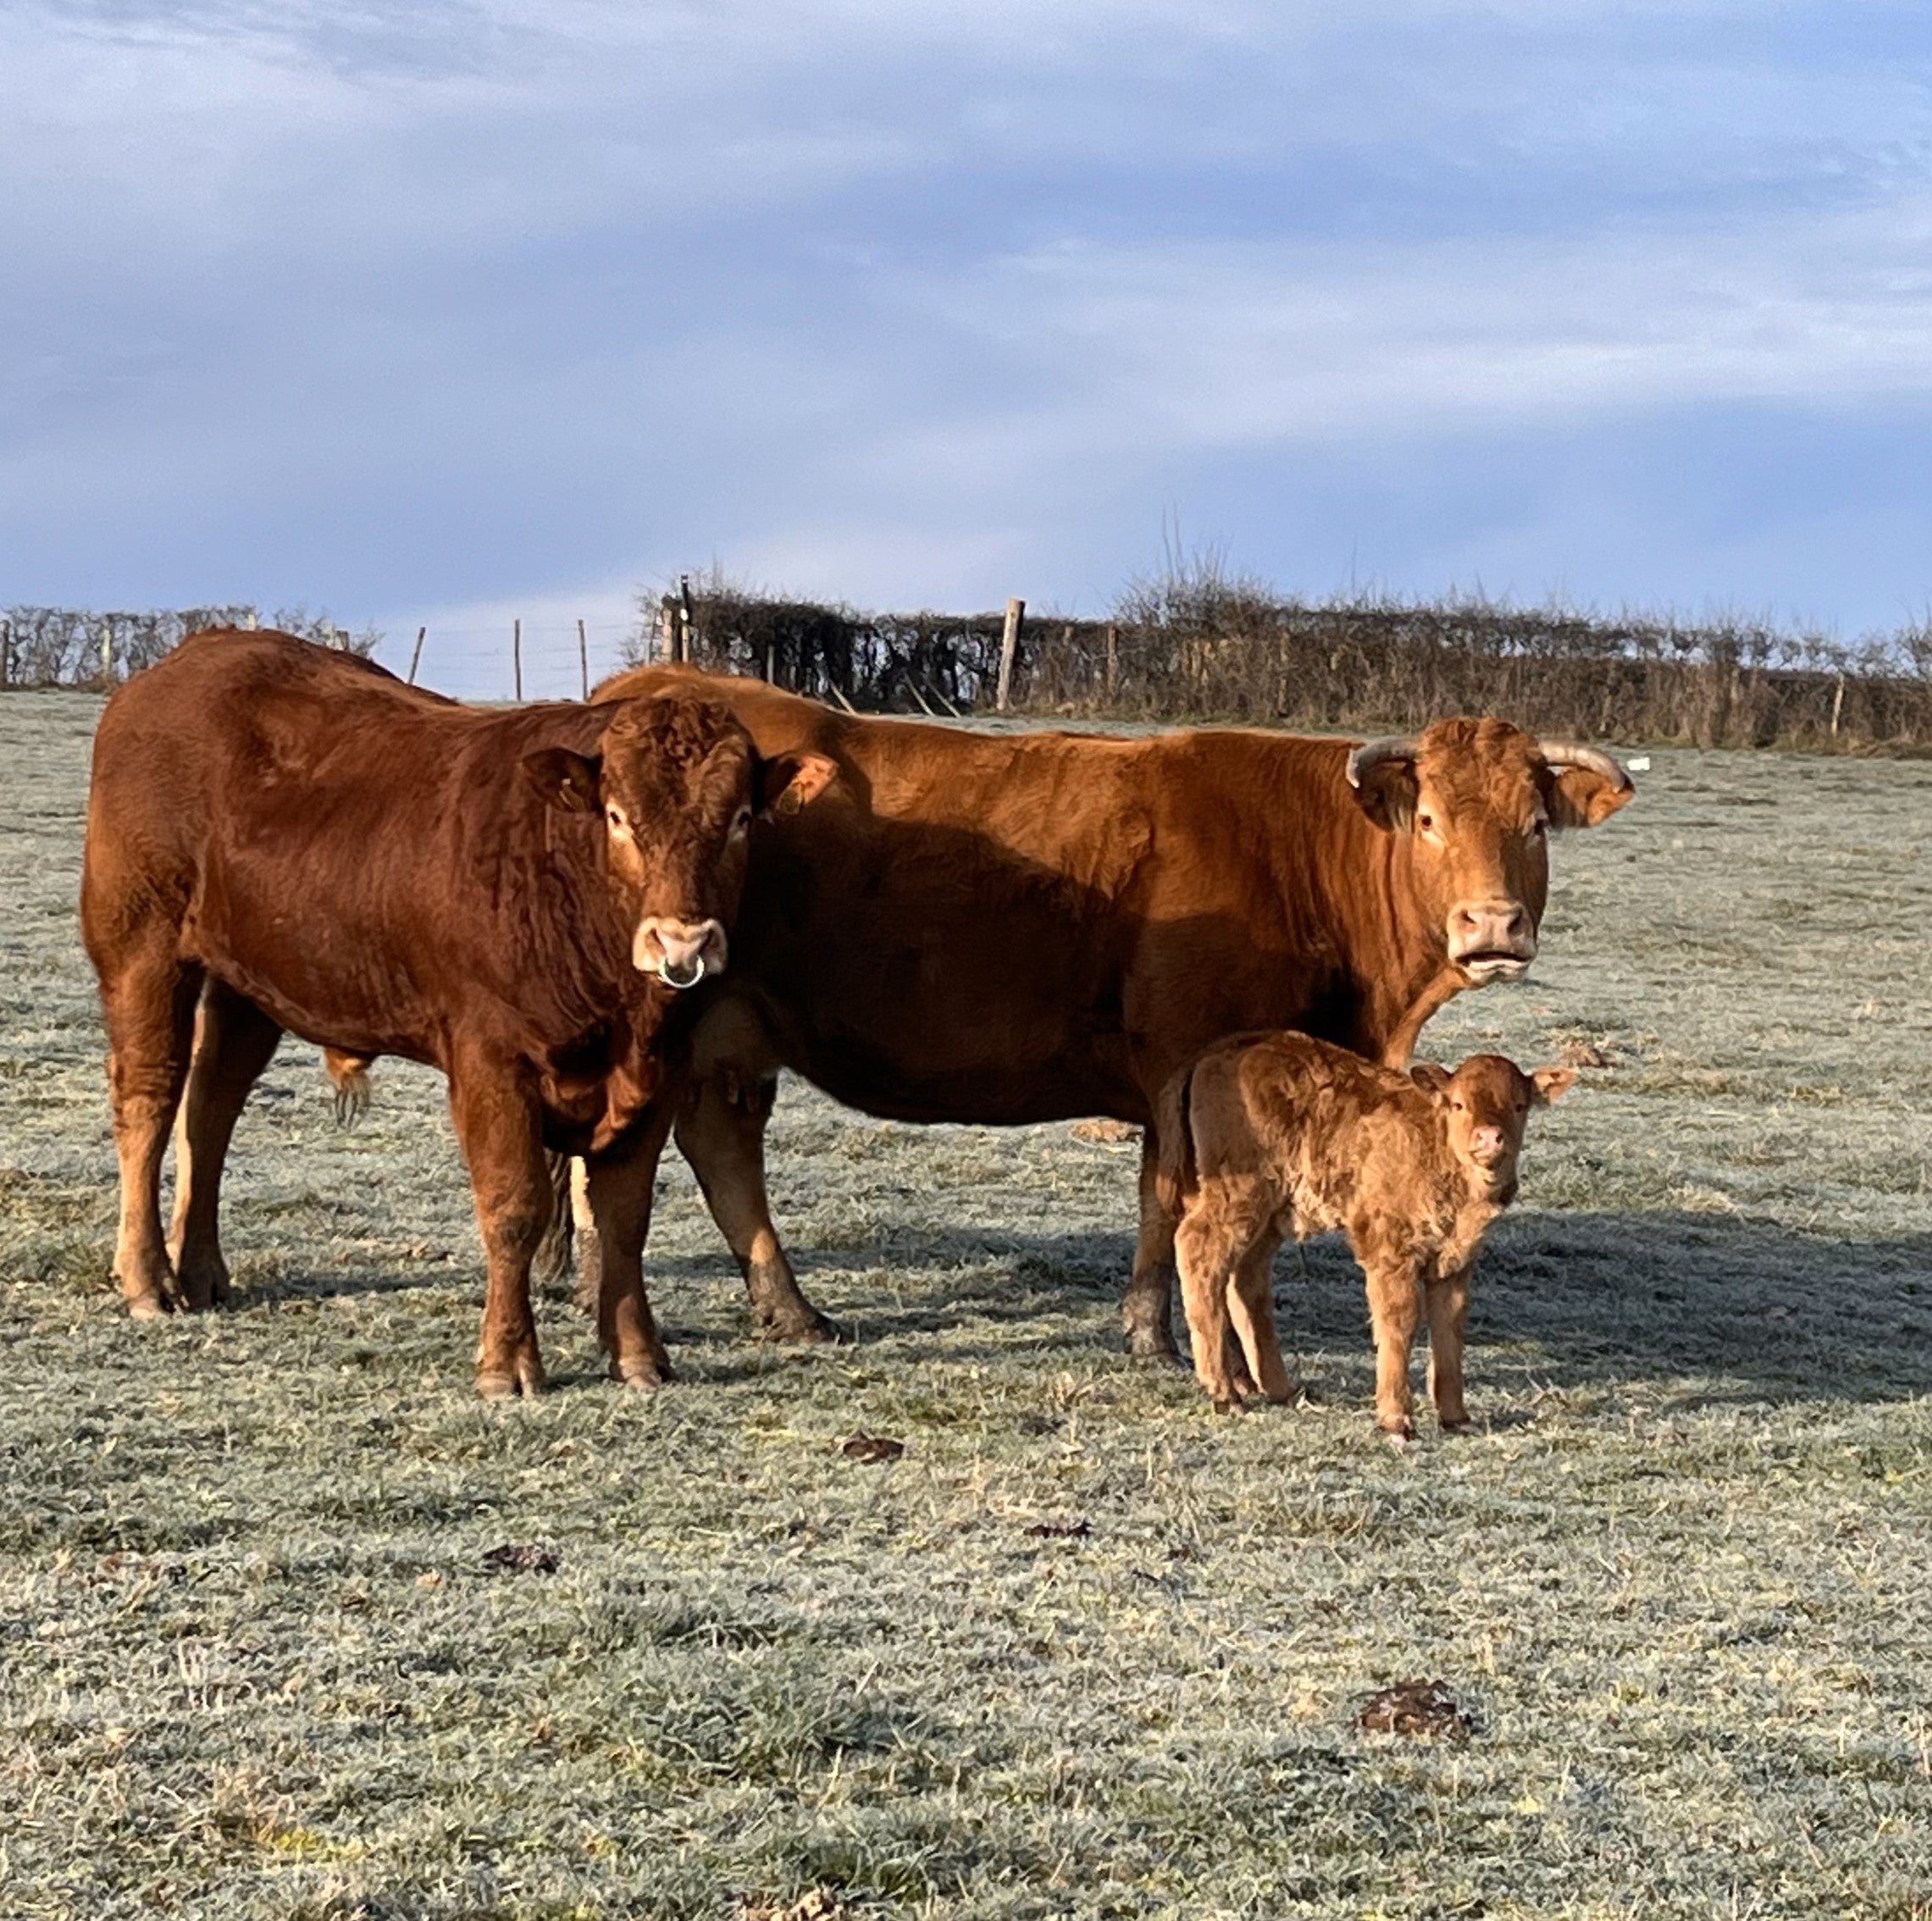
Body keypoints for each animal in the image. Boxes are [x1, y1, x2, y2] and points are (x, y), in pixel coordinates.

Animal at [79, 630, 833, 1396]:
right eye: (619, 817)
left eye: (739, 820)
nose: (682, 941)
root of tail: (195, 655)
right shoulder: (490, 1063)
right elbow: (513, 1208)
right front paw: (507, 1361)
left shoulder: (658, 1071)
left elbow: (625, 1217)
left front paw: (636, 1353)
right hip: (142, 947)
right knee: (149, 1097)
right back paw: (147, 1277)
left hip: (249, 981)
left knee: (211, 1107)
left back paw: (201, 1269)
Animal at [574, 667, 1633, 1360]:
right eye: (1428, 820)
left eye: (1533, 825)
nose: (1491, 924)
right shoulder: (1184, 1064)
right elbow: (1170, 1199)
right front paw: (1157, 1333)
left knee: (715, 1151)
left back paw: (769, 1306)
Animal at [1155, 1033, 1573, 1435]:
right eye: (1457, 1105)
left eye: (1519, 1106)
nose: (1489, 1138)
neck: (1434, 1145)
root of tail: (1215, 1053)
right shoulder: (1390, 1251)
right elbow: (1399, 1322)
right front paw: (1396, 1420)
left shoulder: (1455, 1262)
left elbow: (1450, 1328)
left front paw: (1457, 1418)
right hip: (1239, 1194)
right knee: (1198, 1250)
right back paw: (1223, 1392)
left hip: (1269, 1214)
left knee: (1245, 1279)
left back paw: (1281, 1390)